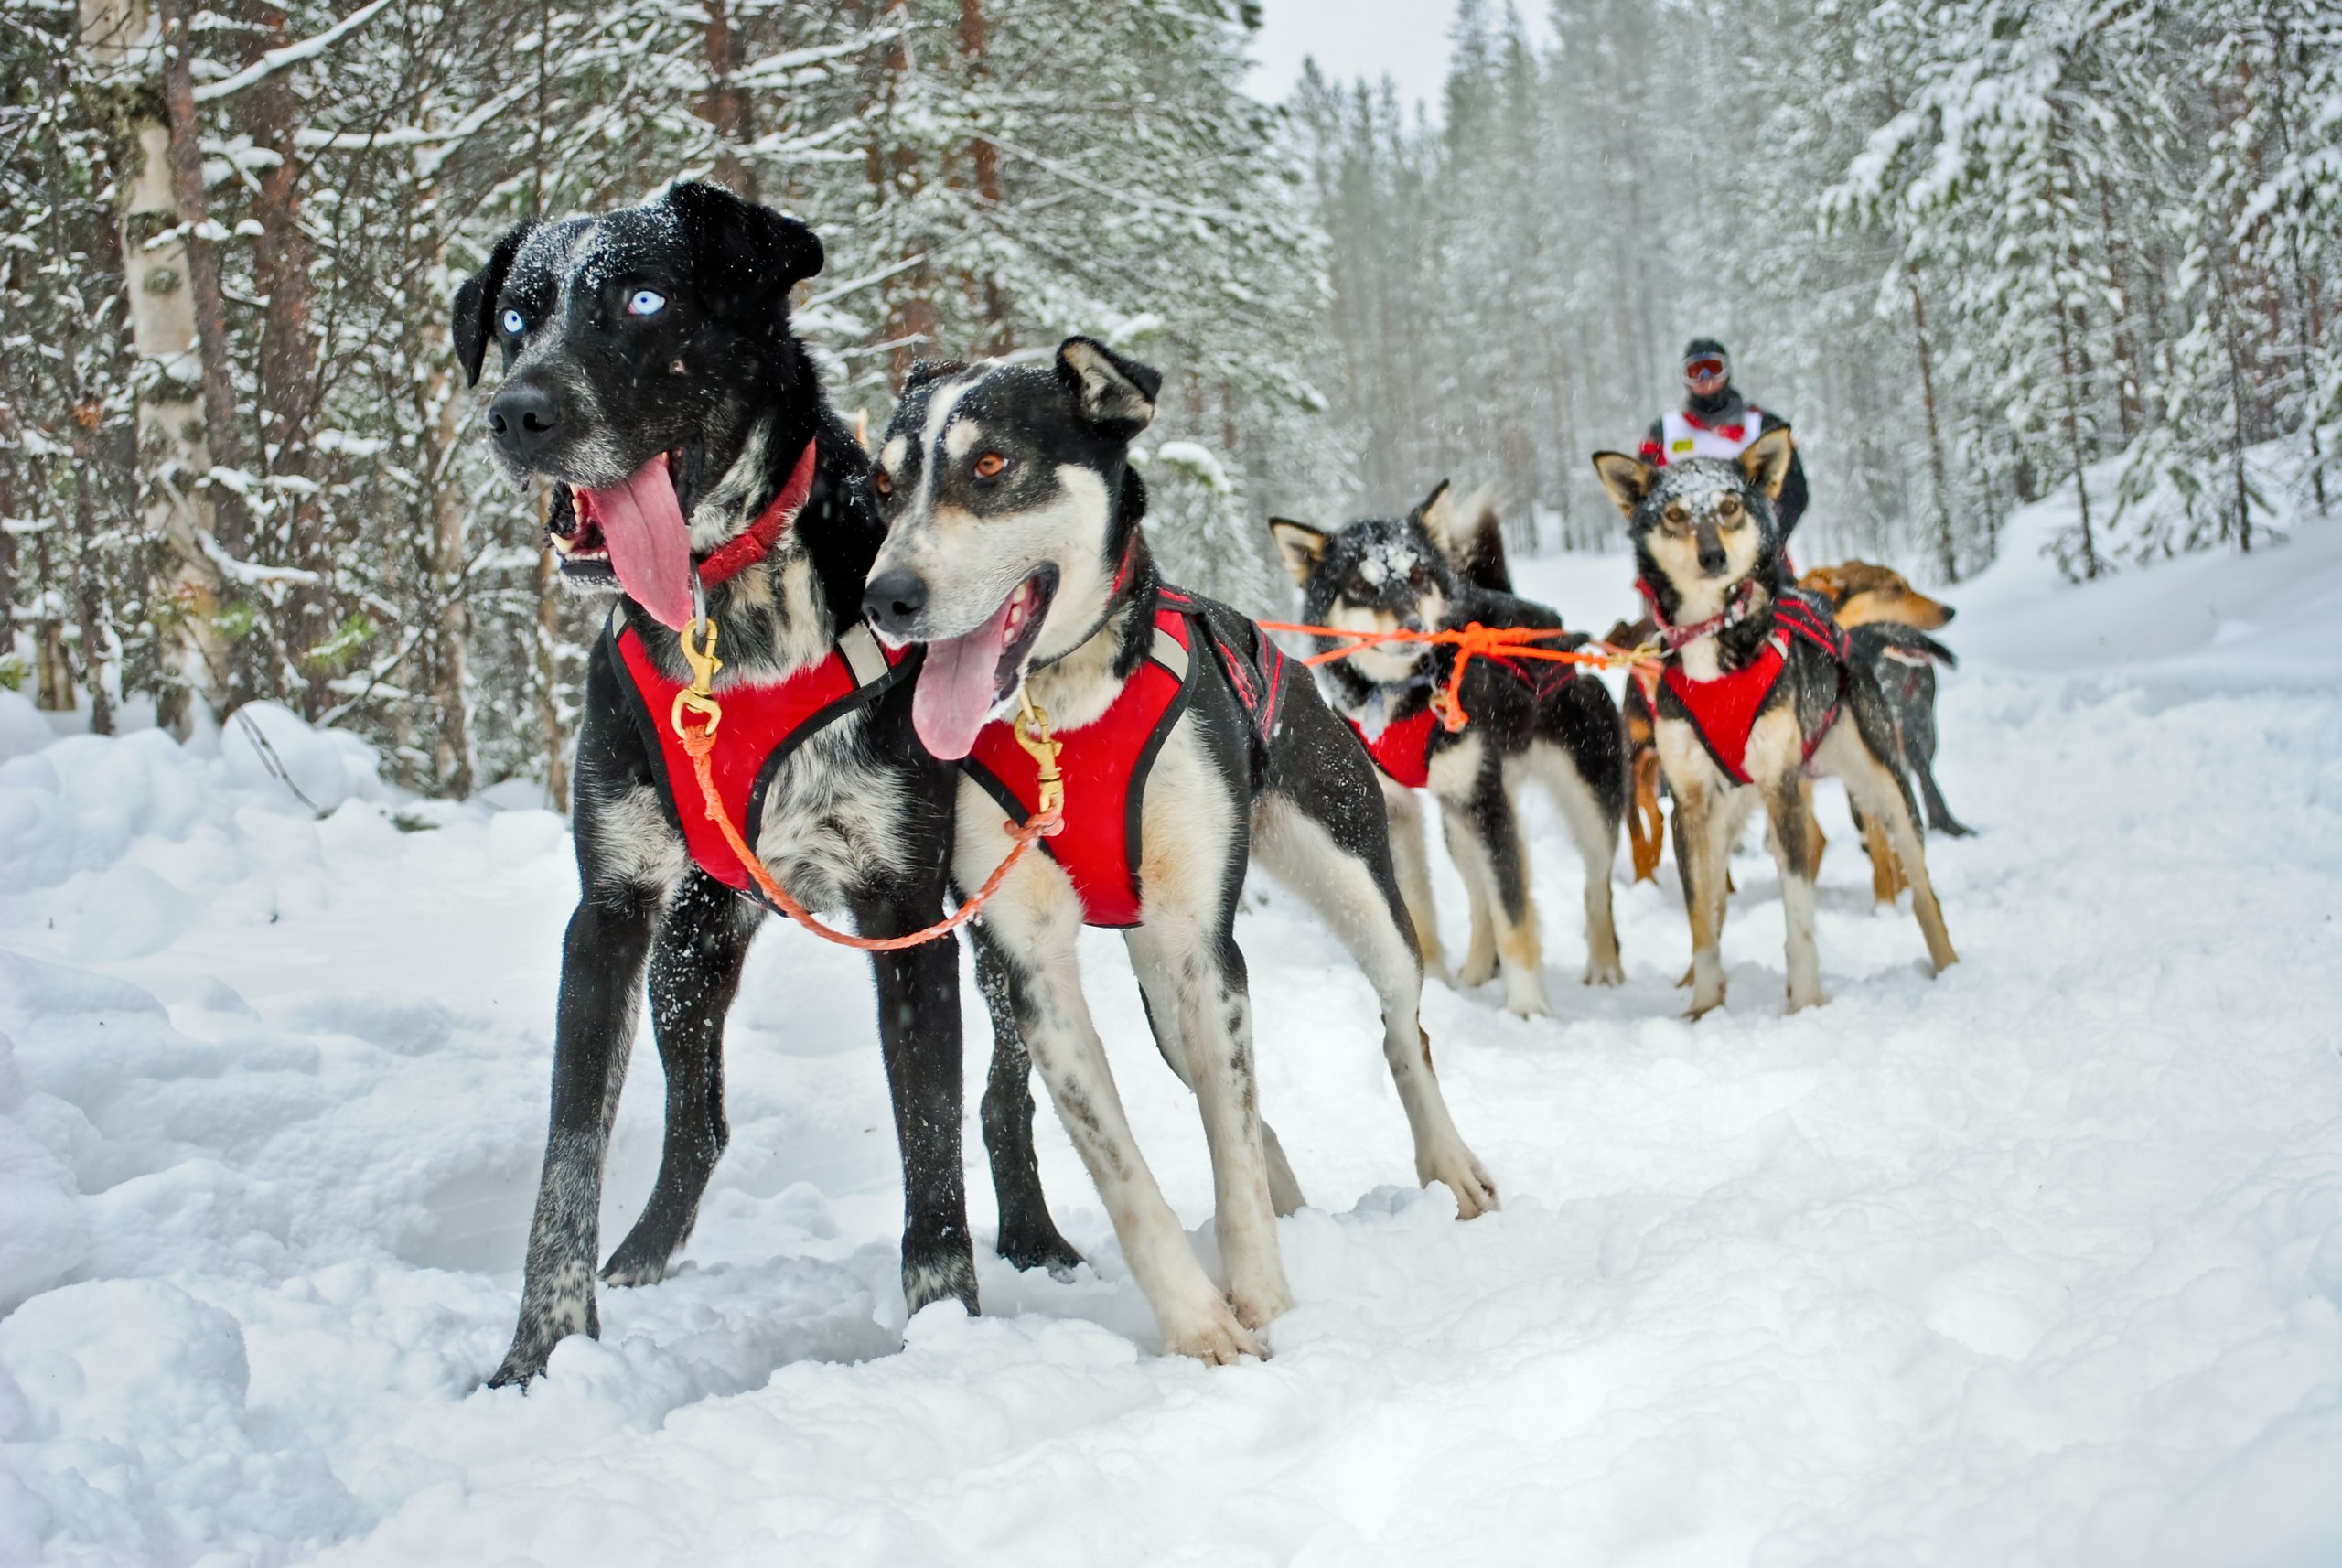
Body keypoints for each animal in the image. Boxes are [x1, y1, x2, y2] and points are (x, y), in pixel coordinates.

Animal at [449, 181, 988, 1385]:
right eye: (515, 317)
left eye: (643, 300)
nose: (517, 413)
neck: (724, 622)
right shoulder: (608, 918)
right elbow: (568, 1157)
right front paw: (538, 1357)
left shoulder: (903, 910)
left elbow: (932, 1154)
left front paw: (947, 1341)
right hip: (686, 954)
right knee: (699, 1122)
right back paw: (640, 1261)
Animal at [862, 341, 1499, 1366]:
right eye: (882, 487)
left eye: (991, 464)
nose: (886, 598)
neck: (1062, 714)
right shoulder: (1033, 968)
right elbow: (1130, 1169)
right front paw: (1202, 1326)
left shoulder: (1205, 949)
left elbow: (1230, 1147)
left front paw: (1266, 1301)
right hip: (1160, 994)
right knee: (1233, 1097)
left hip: (1351, 895)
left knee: (1402, 1031)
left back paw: (1448, 1167)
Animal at [1264, 484, 1629, 1020]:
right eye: (1361, 586)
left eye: (1417, 575)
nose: (1413, 624)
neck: (1404, 698)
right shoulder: (1398, 812)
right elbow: (1422, 910)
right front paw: (1433, 986)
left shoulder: (1486, 803)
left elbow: (1514, 914)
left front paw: (1526, 1007)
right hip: (1461, 824)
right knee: (1480, 899)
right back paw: (1477, 969)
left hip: (1583, 803)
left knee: (1595, 885)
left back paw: (1603, 966)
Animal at [1592, 430, 1958, 1020]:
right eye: (1674, 513)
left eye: (1729, 506)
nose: (1712, 555)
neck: (1714, 643)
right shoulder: (1689, 804)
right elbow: (1700, 916)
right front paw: (1704, 1005)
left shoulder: (1782, 789)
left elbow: (1799, 911)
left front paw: (1805, 1001)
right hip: (1725, 813)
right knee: (1716, 897)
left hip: (1884, 788)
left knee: (1923, 887)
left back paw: (1947, 966)